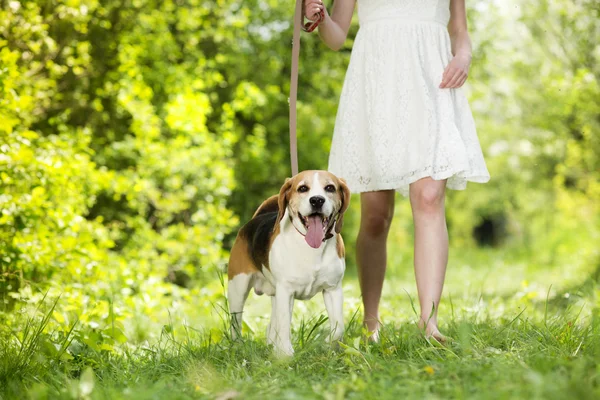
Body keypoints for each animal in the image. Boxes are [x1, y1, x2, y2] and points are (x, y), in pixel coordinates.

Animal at [229, 170, 352, 354]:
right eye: (302, 188)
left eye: (330, 188)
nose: (317, 200)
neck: (310, 247)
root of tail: (257, 217)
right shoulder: (286, 291)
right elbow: (284, 325)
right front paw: (286, 355)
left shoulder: (333, 289)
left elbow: (339, 327)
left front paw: (329, 344)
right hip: (238, 288)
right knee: (236, 323)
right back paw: (237, 346)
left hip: (275, 295)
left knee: (271, 326)